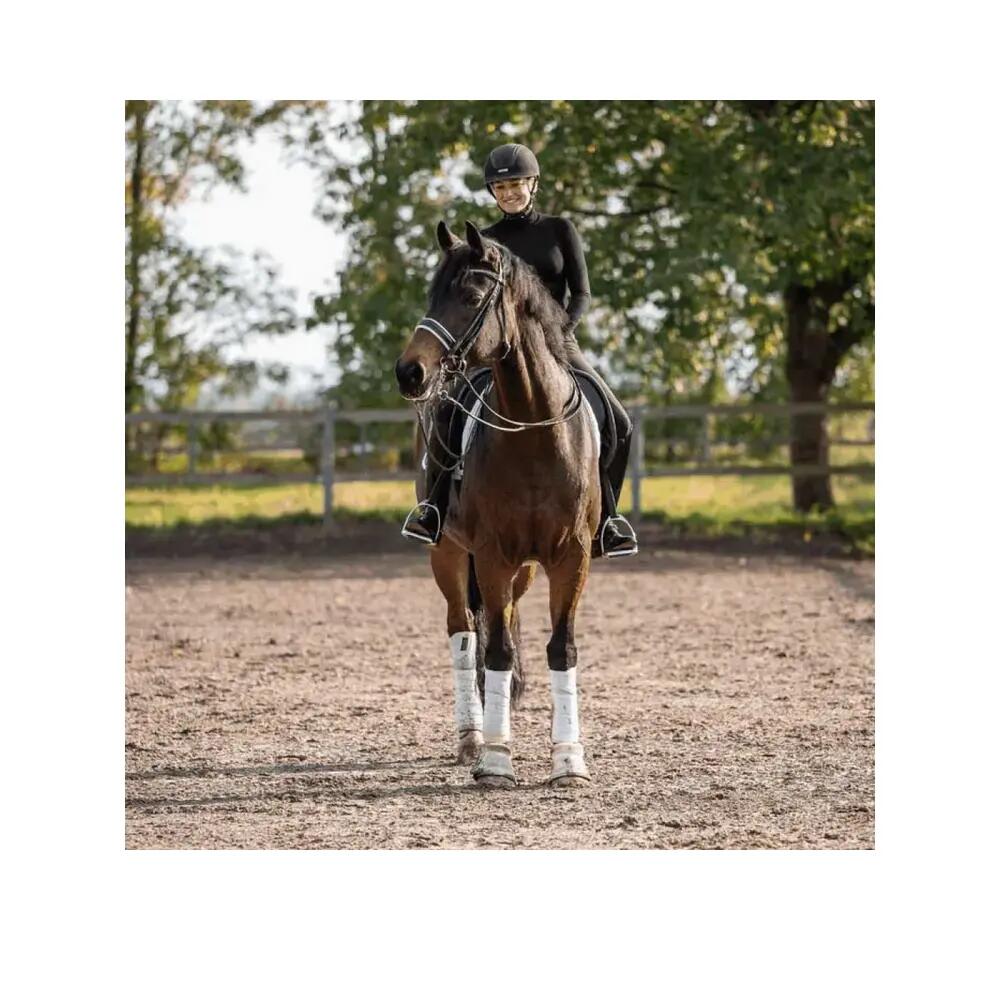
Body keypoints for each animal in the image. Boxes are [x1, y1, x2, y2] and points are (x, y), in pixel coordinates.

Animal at [394, 220, 601, 788]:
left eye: (470, 296)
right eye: (432, 295)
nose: (409, 373)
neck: (533, 430)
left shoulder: (571, 557)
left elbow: (560, 648)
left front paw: (568, 761)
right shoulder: (490, 555)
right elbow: (497, 649)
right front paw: (495, 760)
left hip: (524, 570)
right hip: (447, 552)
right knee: (465, 632)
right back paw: (472, 737)